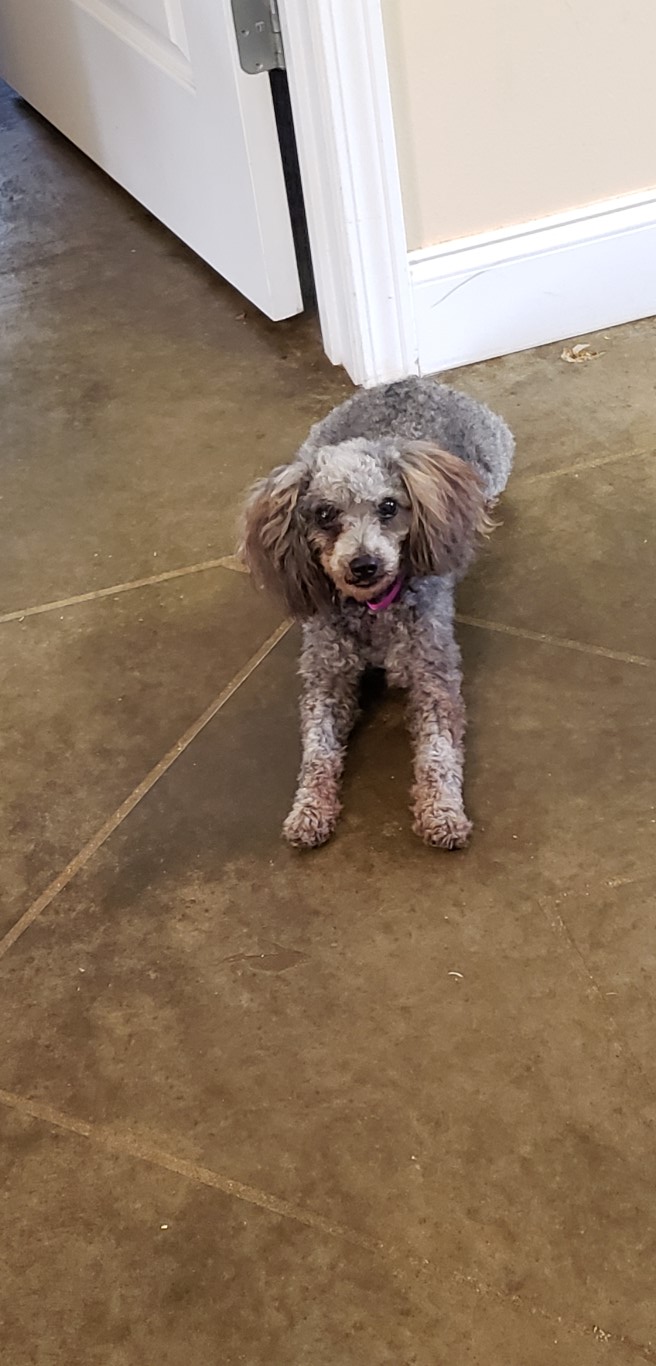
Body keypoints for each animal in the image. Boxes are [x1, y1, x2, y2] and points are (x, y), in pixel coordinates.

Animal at [241, 377, 514, 850]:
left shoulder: (432, 676)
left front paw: (443, 812)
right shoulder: (327, 680)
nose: (364, 564)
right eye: (325, 514)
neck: (372, 613)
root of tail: (406, 380)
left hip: (497, 455)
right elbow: (317, 750)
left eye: (388, 507)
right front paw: (309, 809)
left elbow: (438, 751)